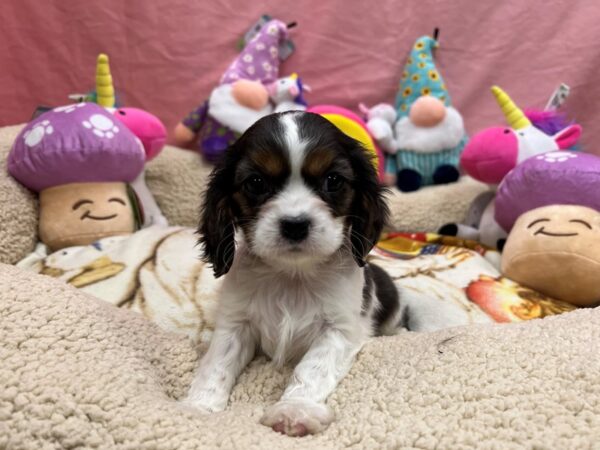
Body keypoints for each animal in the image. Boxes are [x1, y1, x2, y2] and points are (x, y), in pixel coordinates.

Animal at [183, 111, 404, 436]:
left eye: (333, 180)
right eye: (256, 182)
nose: (295, 224)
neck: (292, 274)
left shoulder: (339, 329)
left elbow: (312, 368)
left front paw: (295, 409)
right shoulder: (236, 323)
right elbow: (217, 363)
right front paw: (198, 407)